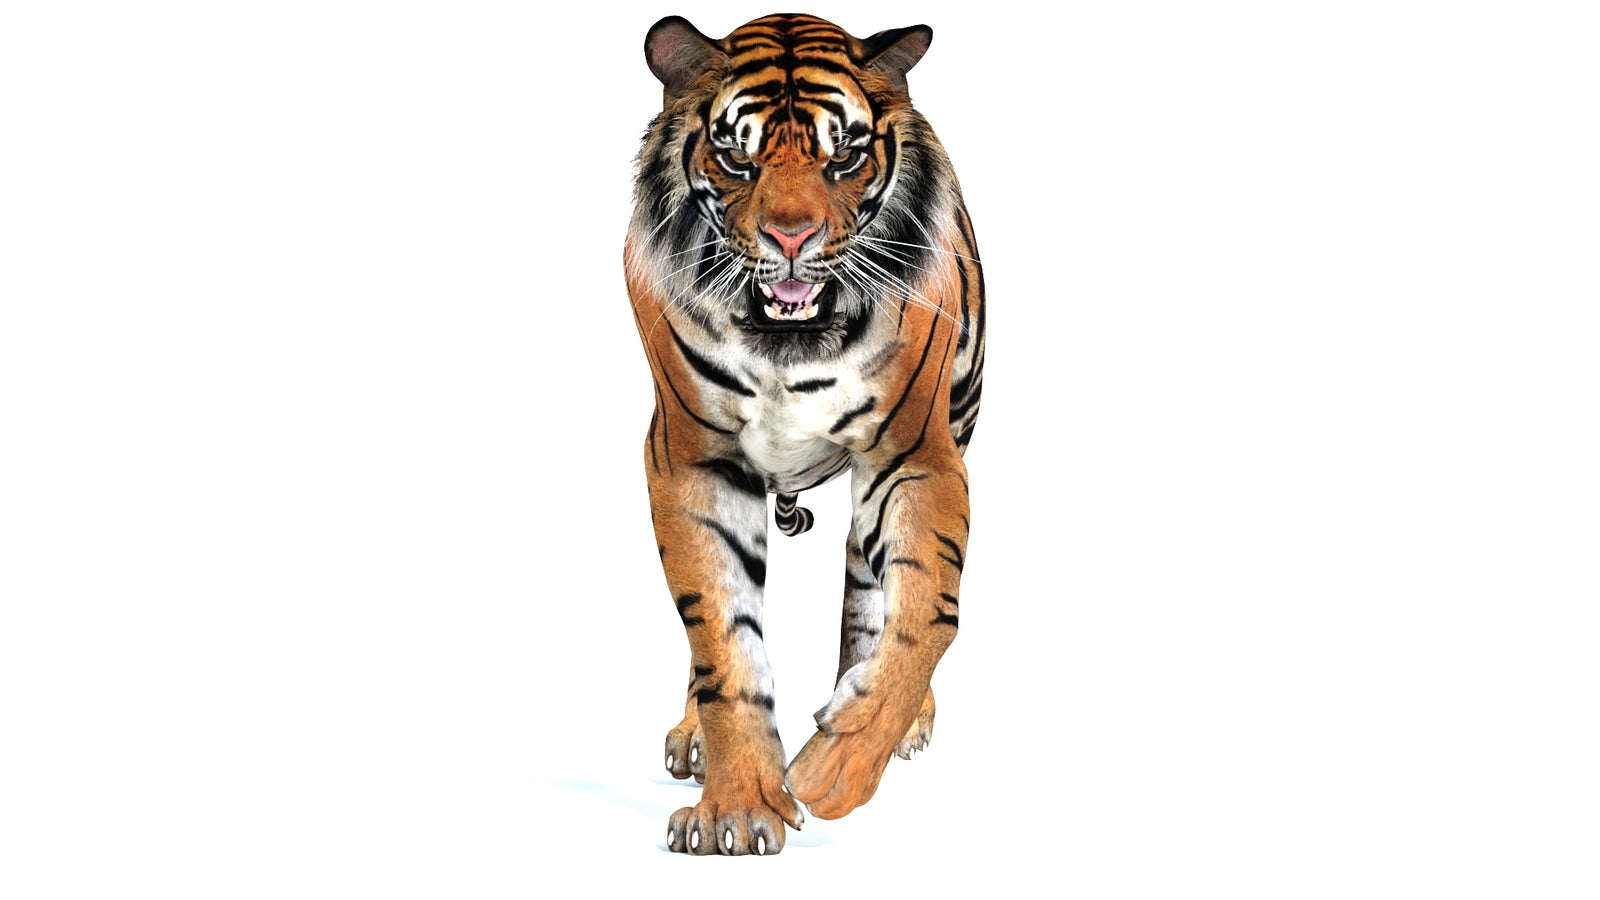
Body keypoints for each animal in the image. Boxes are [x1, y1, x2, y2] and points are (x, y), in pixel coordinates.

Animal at [624, 13, 985, 855]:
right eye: (736, 156)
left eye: (843, 156)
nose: (792, 237)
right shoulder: (692, 461)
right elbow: (723, 643)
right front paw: (736, 808)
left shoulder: (915, 457)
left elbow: (926, 614)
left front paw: (834, 770)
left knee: (871, 599)